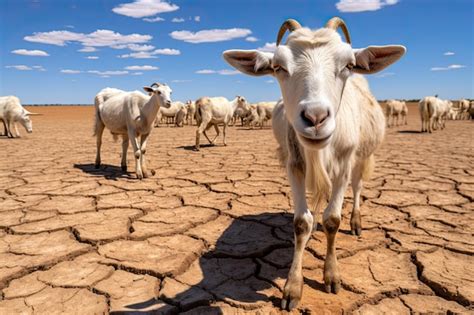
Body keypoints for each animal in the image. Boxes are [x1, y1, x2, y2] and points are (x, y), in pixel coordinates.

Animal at [224, 17, 406, 312]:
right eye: (278, 67)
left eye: (349, 65)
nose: (315, 117)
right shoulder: (294, 164)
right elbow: (301, 222)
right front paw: (292, 288)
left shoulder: (344, 165)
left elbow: (333, 219)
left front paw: (331, 276)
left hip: (362, 157)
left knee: (358, 187)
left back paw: (356, 222)